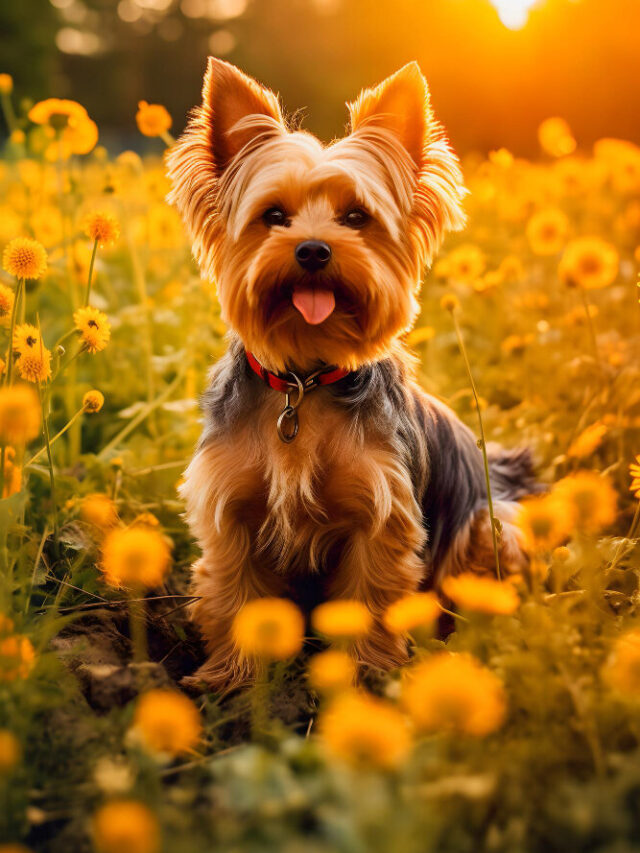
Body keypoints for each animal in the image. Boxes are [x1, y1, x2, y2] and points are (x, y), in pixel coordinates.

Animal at [166, 56, 536, 688]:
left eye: (356, 217)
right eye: (273, 216)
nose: (313, 249)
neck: (304, 380)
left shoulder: (381, 515)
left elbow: (371, 594)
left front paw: (369, 676)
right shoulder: (230, 507)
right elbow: (236, 592)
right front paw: (233, 679)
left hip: (487, 528)